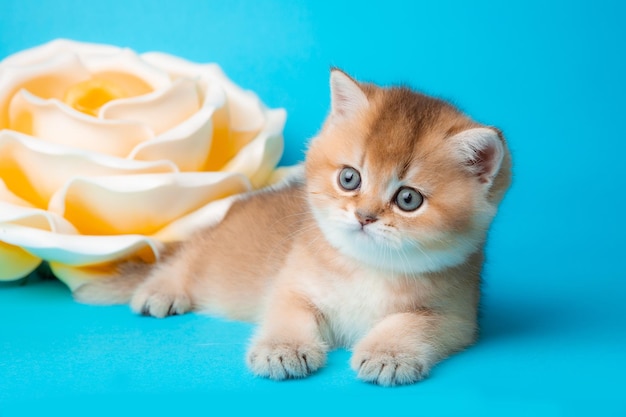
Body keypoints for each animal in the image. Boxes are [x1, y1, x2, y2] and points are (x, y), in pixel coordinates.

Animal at [75, 70, 510, 386]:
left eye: (408, 199)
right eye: (350, 178)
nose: (364, 216)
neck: (367, 267)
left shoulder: (455, 315)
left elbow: (411, 323)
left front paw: (389, 353)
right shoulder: (289, 286)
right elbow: (288, 313)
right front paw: (283, 349)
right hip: (205, 249)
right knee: (183, 260)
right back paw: (162, 290)